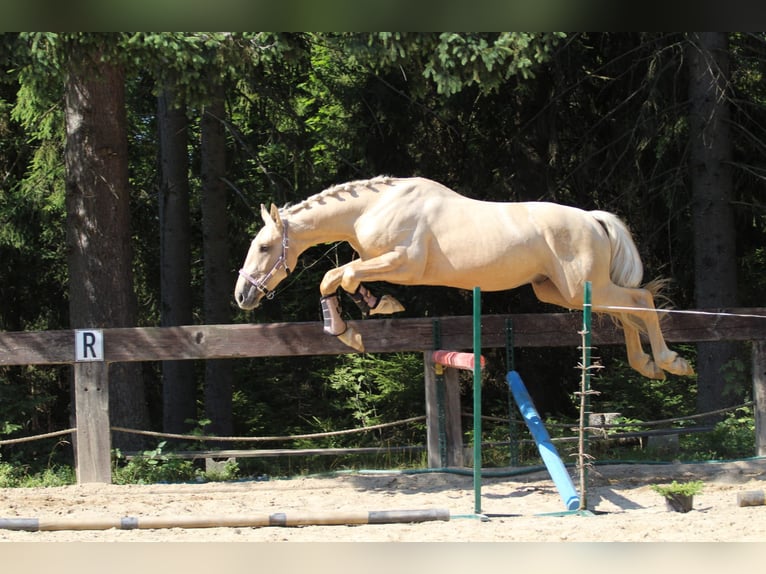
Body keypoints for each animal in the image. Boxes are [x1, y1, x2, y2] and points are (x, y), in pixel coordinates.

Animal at [236, 178, 696, 380]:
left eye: (264, 247)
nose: (243, 296)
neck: (374, 206)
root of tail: (593, 219)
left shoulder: (403, 263)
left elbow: (339, 274)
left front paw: (353, 323)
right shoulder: (379, 262)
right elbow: (338, 278)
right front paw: (363, 316)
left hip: (584, 287)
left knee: (641, 302)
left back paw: (671, 362)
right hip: (563, 292)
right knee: (626, 311)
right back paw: (649, 366)